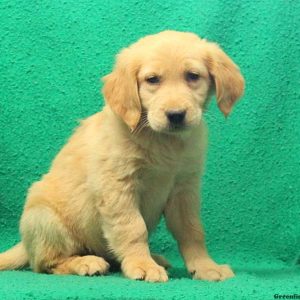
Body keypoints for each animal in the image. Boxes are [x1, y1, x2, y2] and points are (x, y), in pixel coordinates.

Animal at [0, 29, 244, 282]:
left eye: (193, 76)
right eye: (152, 79)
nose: (176, 115)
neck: (162, 141)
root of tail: (25, 244)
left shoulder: (184, 189)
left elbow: (192, 230)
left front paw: (205, 266)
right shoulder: (117, 186)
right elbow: (133, 229)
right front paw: (142, 265)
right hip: (45, 218)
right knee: (46, 264)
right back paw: (85, 262)